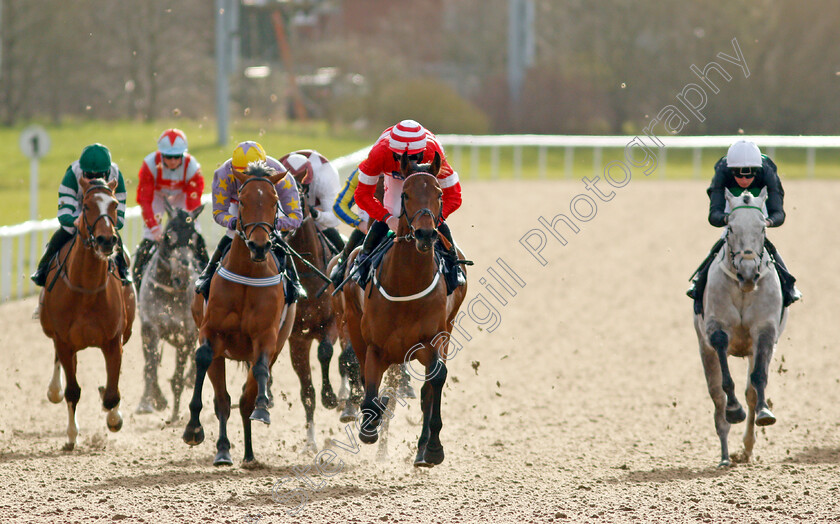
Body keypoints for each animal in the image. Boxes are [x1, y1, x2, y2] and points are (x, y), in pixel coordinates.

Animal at [39, 176, 135, 450]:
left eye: (114, 205)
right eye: (88, 205)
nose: (106, 240)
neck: (87, 290)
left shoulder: (113, 341)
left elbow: (112, 392)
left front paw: (114, 417)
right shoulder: (65, 341)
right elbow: (72, 391)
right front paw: (72, 436)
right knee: (58, 365)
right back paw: (54, 390)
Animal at [136, 203, 207, 424]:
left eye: (194, 238)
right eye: (168, 236)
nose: (182, 276)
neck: (170, 292)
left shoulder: (186, 335)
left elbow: (177, 378)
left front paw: (175, 413)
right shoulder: (150, 327)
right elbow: (150, 367)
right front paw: (152, 401)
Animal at [185, 163, 296, 466]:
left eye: (274, 201)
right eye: (243, 201)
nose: (259, 246)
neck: (248, 273)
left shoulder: (267, 336)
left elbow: (259, 372)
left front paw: (263, 408)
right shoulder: (211, 332)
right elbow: (202, 358)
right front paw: (193, 428)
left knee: (246, 398)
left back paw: (249, 452)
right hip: (221, 354)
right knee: (223, 400)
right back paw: (223, 449)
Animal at [342, 152, 472, 466]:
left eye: (439, 194)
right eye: (406, 194)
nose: (425, 234)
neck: (407, 283)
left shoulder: (434, 338)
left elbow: (435, 381)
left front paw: (433, 447)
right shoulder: (375, 345)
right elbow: (369, 387)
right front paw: (370, 424)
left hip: (448, 330)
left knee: (429, 389)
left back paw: (423, 447)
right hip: (353, 323)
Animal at [696, 188, 788, 466]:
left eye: (762, 228)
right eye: (731, 228)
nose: (748, 273)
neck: (743, 289)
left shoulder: (765, 329)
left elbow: (758, 380)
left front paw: (765, 413)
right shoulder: (715, 328)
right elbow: (725, 383)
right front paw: (733, 409)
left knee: (750, 393)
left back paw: (746, 448)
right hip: (704, 351)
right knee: (717, 399)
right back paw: (726, 456)